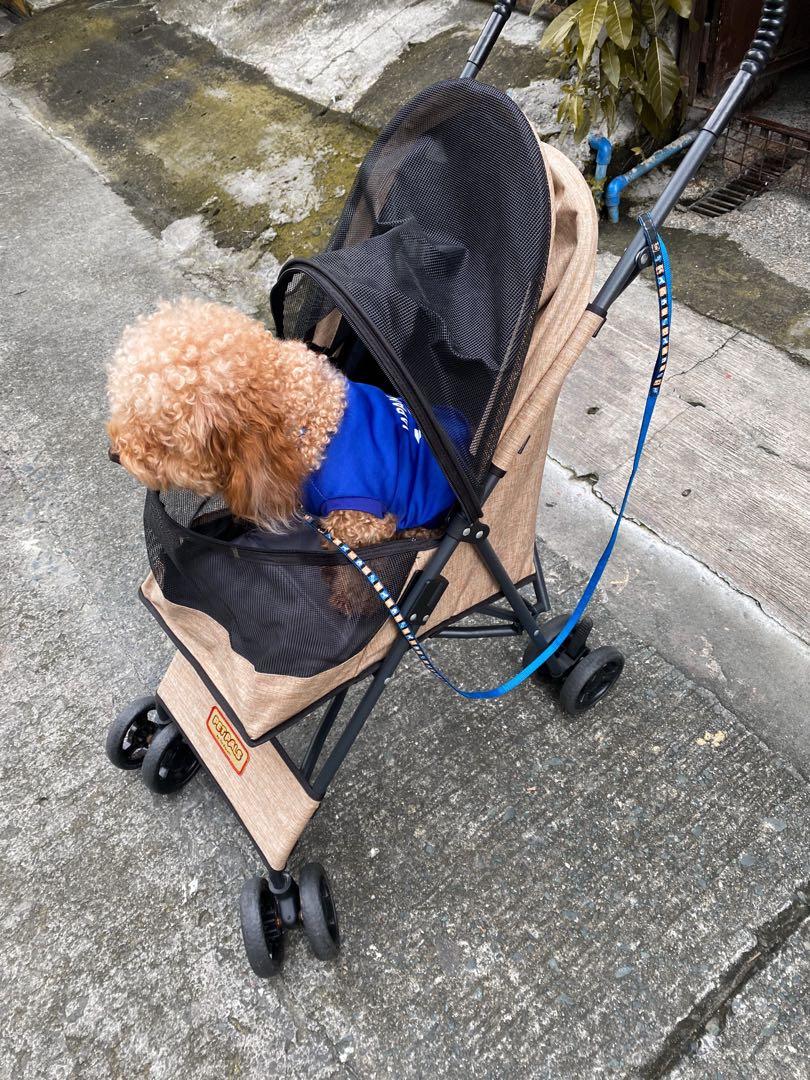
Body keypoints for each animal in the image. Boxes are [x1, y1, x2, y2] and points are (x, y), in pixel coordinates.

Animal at [107, 299, 454, 608]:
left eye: (156, 436)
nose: (113, 454)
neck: (310, 419)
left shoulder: (364, 525)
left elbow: (358, 573)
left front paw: (348, 599)